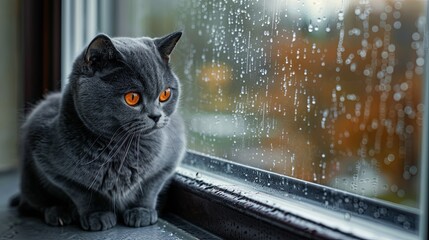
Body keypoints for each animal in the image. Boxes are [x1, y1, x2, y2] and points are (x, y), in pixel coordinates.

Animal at [14, 31, 185, 231]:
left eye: (165, 94)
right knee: (32, 203)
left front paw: (141, 211)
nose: (157, 116)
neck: (123, 148)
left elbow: (150, 186)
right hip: (30, 181)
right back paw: (58, 213)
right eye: (132, 98)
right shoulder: (49, 162)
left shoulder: (170, 158)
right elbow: (83, 191)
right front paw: (98, 215)